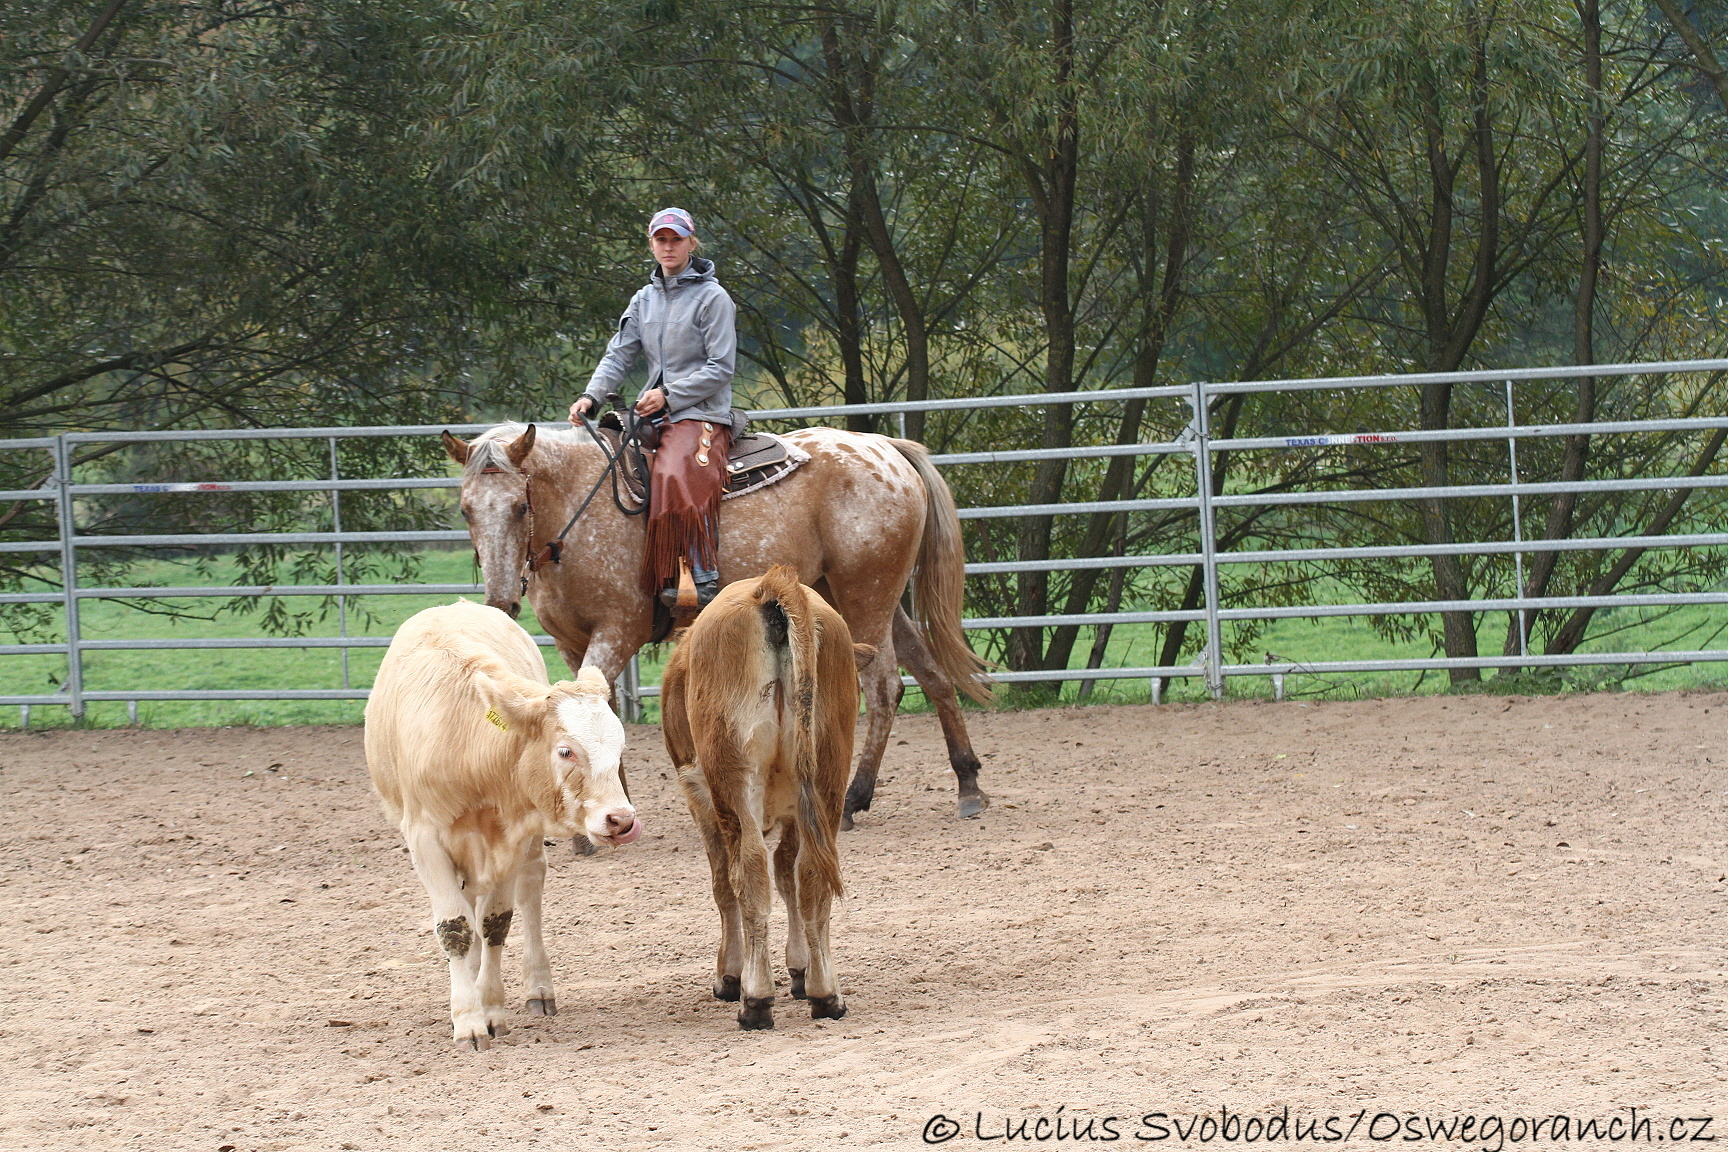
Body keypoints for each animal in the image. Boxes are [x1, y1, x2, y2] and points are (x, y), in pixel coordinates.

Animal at [438, 421, 995, 818]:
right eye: (466, 510)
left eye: (518, 506)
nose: (500, 601)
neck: (577, 508)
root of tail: (887, 448)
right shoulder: (572, 643)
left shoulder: (617, 633)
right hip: (870, 597)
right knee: (934, 675)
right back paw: (968, 784)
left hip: (867, 598)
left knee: (885, 688)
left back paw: (854, 799)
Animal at [663, 566, 877, 1029]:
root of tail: (770, 586)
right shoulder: (798, 813)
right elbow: (789, 876)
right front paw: (800, 969)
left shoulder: (700, 799)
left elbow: (725, 884)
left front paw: (730, 975)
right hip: (827, 778)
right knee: (811, 875)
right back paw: (826, 994)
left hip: (732, 785)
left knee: (749, 871)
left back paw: (755, 1000)